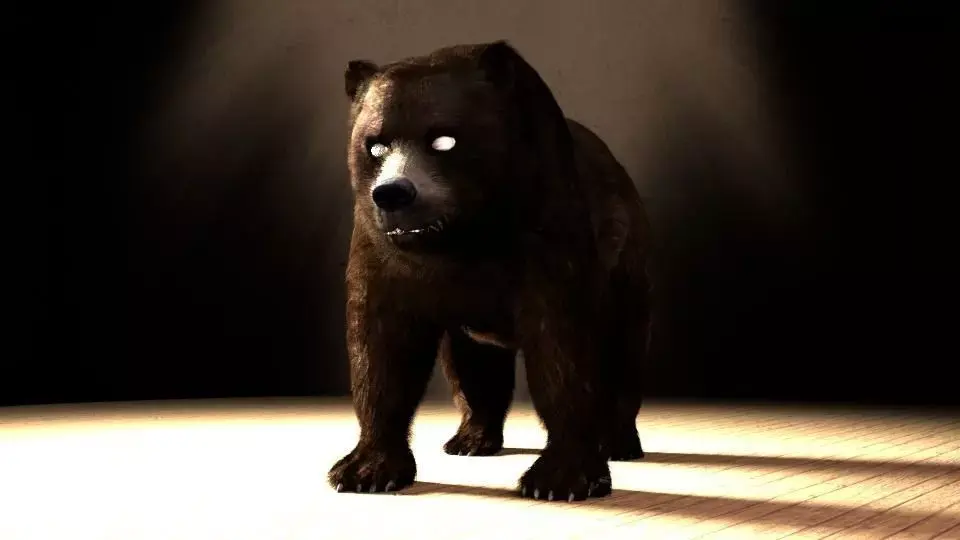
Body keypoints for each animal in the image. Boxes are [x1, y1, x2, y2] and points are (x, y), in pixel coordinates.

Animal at [327, 40, 652, 502]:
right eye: (374, 145)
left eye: (444, 139)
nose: (393, 193)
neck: (466, 242)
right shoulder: (383, 259)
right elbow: (382, 351)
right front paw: (364, 469)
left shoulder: (548, 233)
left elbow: (563, 351)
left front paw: (561, 478)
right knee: (473, 364)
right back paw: (470, 439)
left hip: (626, 269)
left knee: (623, 353)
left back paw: (620, 443)